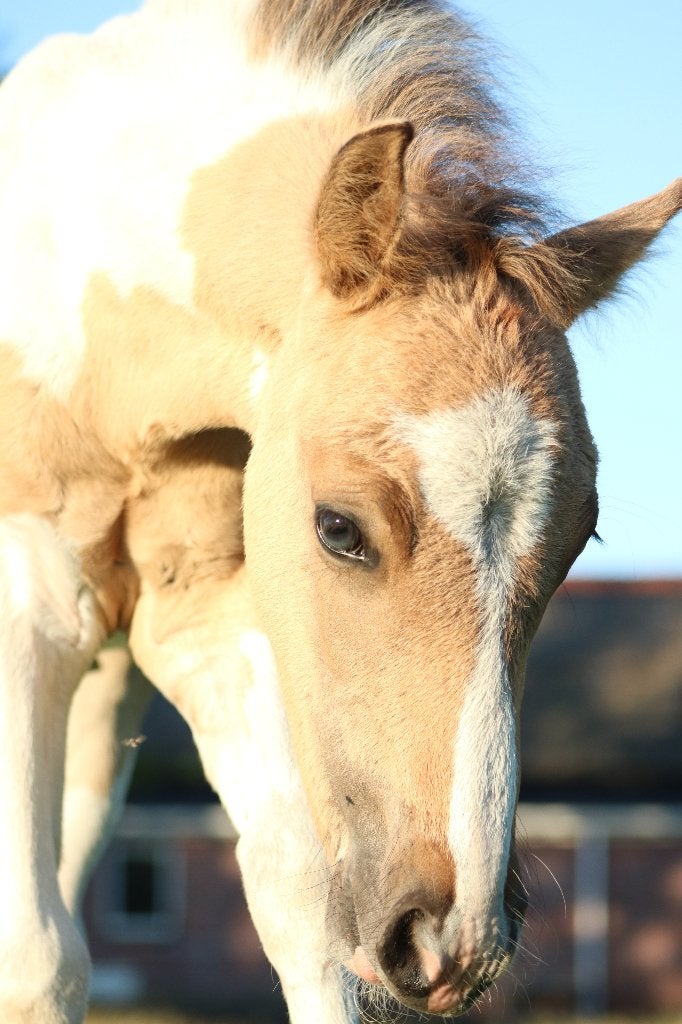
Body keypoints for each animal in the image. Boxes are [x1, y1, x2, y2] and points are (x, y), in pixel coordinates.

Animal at [0, 1, 679, 1021]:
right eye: (340, 528)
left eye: (577, 542)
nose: (455, 941)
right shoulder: (26, 606)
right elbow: (37, 953)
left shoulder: (214, 620)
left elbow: (303, 915)